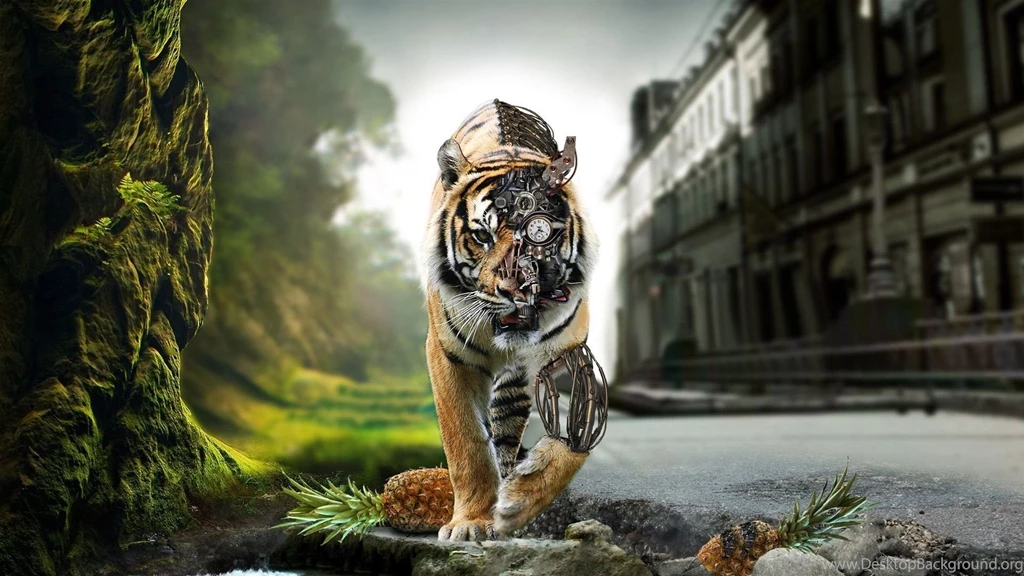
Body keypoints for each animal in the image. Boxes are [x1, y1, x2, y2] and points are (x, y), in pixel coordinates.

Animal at [420, 99, 598, 541]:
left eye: (539, 234)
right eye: (482, 236)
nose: (516, 291)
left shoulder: (570, 356)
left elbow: (572, 441)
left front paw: (518, 501)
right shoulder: (448, 357)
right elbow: (466, 442)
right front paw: (470, 522)